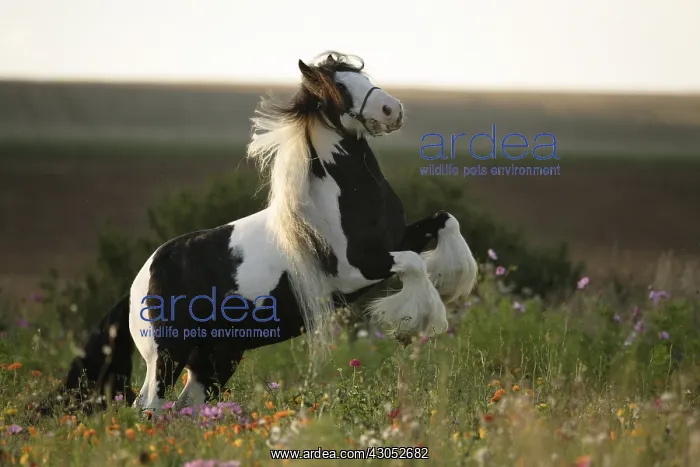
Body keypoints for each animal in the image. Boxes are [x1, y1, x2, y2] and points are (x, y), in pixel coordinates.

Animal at [37, 52, 478, 418]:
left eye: (363, 75)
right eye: (338, 87)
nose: (392, 109)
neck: (344, 198)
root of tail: (136, 285)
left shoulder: (396, 239)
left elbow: (446, 220)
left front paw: (453, 281)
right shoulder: (357, 270)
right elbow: (415, 264)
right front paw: (416, 323)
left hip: (216, 357)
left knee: (186, 406)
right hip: (167, 353)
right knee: (149, 406)